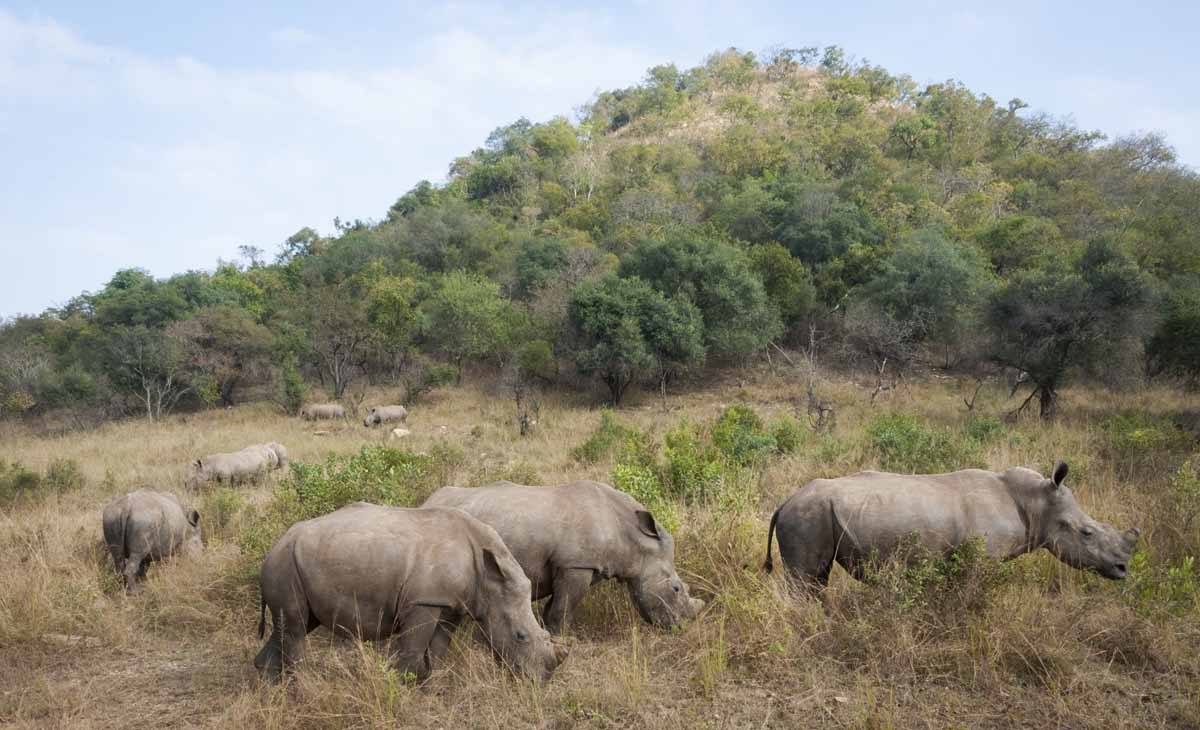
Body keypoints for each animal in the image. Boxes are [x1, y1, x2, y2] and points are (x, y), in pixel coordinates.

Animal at [255, 504, 564, 681]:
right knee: (295, 628)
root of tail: (273, 546)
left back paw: (270, 689)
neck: (488, 575)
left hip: (295, 562)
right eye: (520, 636)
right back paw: (303, 690)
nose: (539, 681)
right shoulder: (423, 602)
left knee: (292, 626)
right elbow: (413, 651)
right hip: (285, 564)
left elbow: (438, 651)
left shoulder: (450, 604)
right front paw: (403, 688)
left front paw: (434, 689)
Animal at [422, 480, 700, 633]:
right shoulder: (575, 564)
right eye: (676, 589)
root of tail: (427, 500)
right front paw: (564, 638)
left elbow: (555, 605)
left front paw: (552, 632)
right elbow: (564, 607)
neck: (633, 537)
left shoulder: (581, 565)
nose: (682, 627)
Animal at [763, 461, 1137, 588]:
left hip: (813, 513)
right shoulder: (982, 559)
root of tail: (783, 503)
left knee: (818, 579)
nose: (1122, 568)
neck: (1035, 503)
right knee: (805, 580)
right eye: (1086, 533)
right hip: (806, 516)